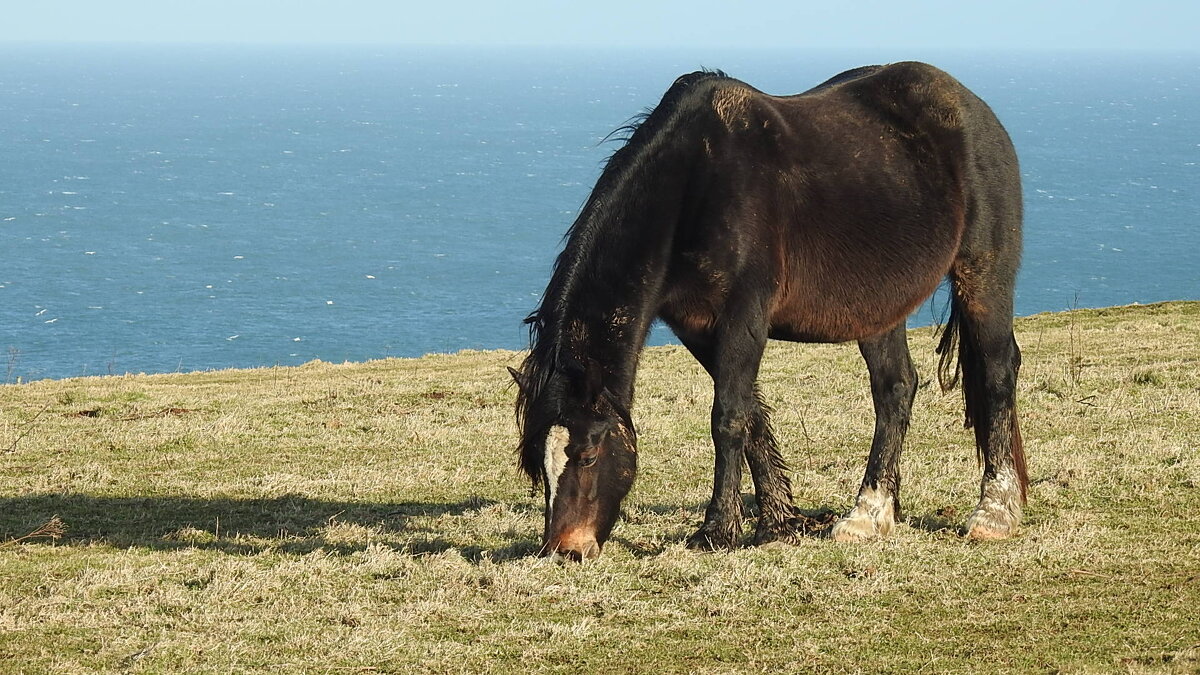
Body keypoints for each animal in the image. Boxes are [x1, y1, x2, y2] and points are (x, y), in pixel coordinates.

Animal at [511, 61, 1027, 557]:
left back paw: (995, 512)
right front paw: (779, 521)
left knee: (998, 371)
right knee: (895, 388)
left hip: (982, 273)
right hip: (879, 306)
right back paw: (868, 515)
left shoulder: (745, 317)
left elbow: (727, 417)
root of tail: (970, 106)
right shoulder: (697, 328)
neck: (696, 183)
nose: (565, 549)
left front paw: (717, 531)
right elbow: (751, 415)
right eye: (539, 465)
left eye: (589, 454)